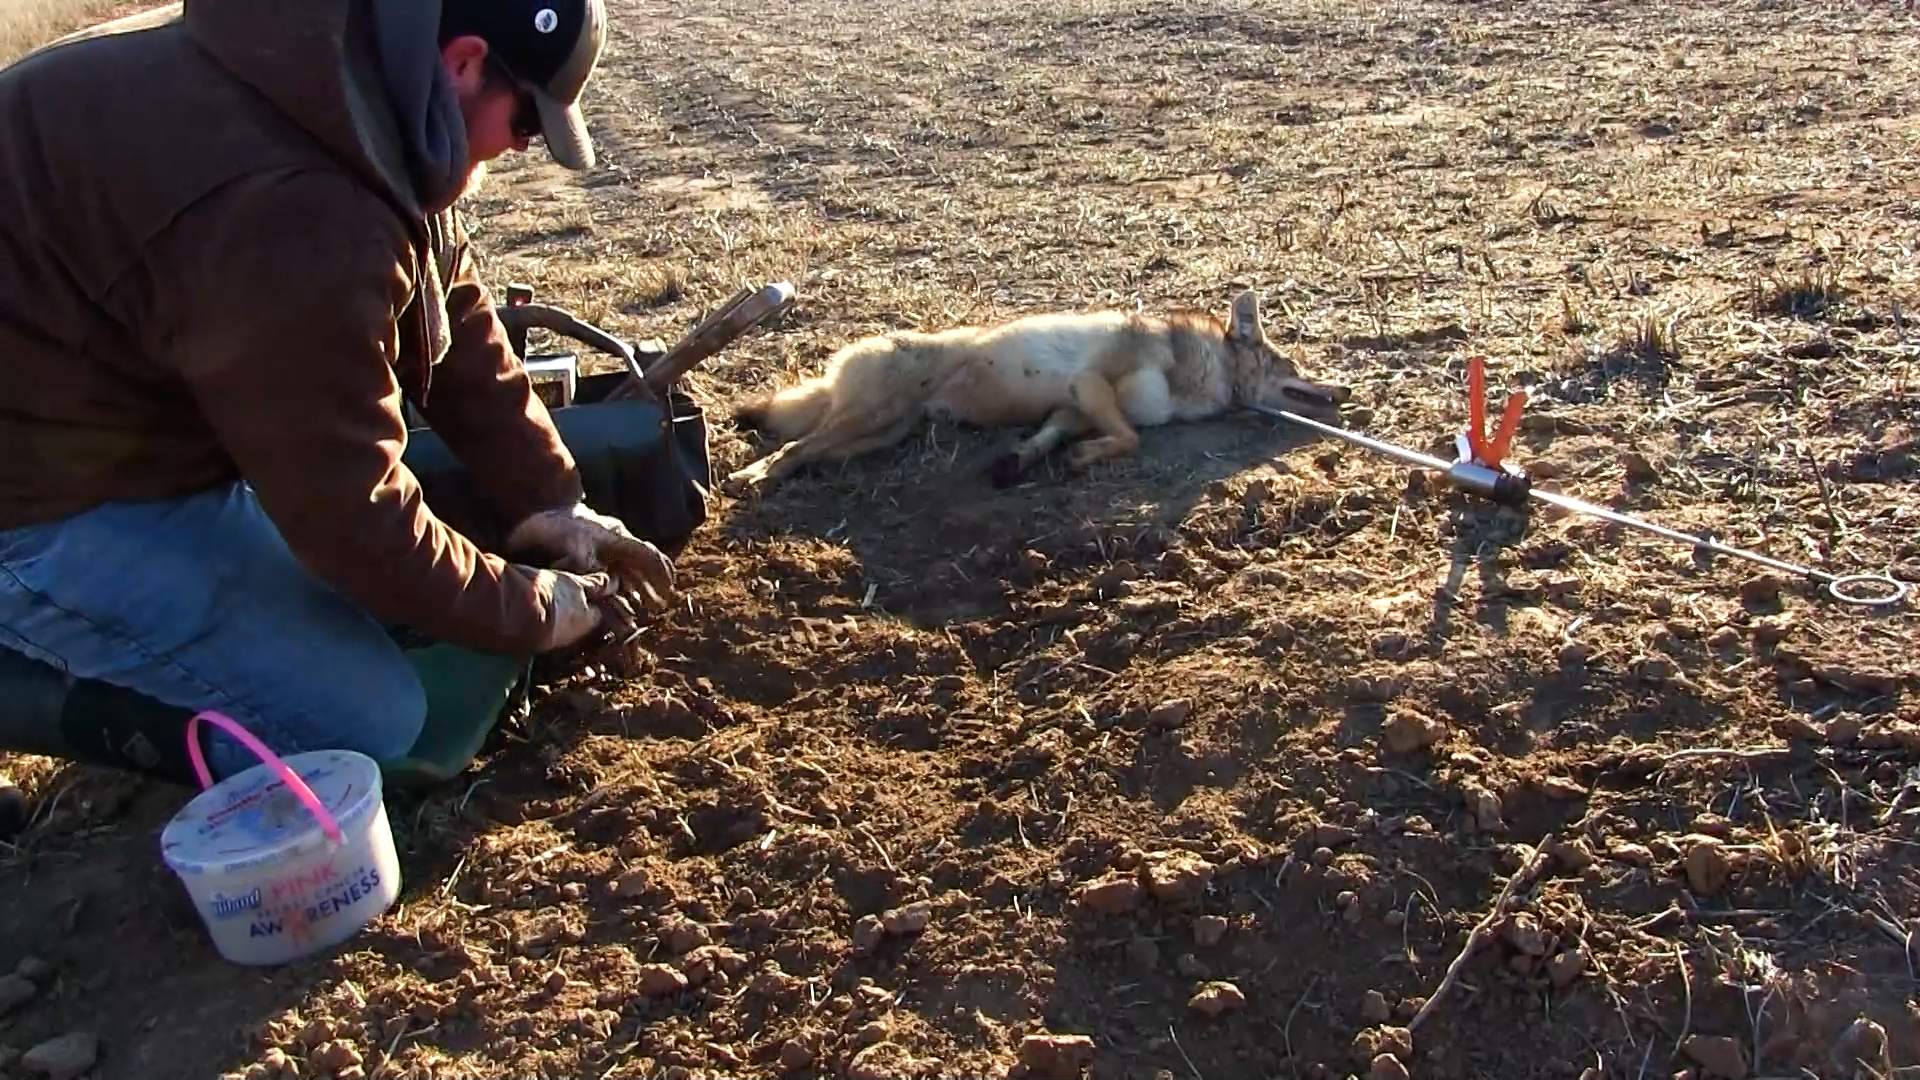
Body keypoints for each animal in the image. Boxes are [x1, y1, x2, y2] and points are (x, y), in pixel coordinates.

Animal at [722, 289, 1351, 496]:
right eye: (1293, 364)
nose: (1345, 389)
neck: (1203, 372)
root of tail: (841, 361)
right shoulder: (1089, 385)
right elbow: (1130, 438)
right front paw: (1085, 456)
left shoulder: (1070, 407)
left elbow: (1055, 439)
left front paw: (1022, 461)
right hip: (868, 420)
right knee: (791, 448)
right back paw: (747, 478)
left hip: (876, 436)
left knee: (804, 453)